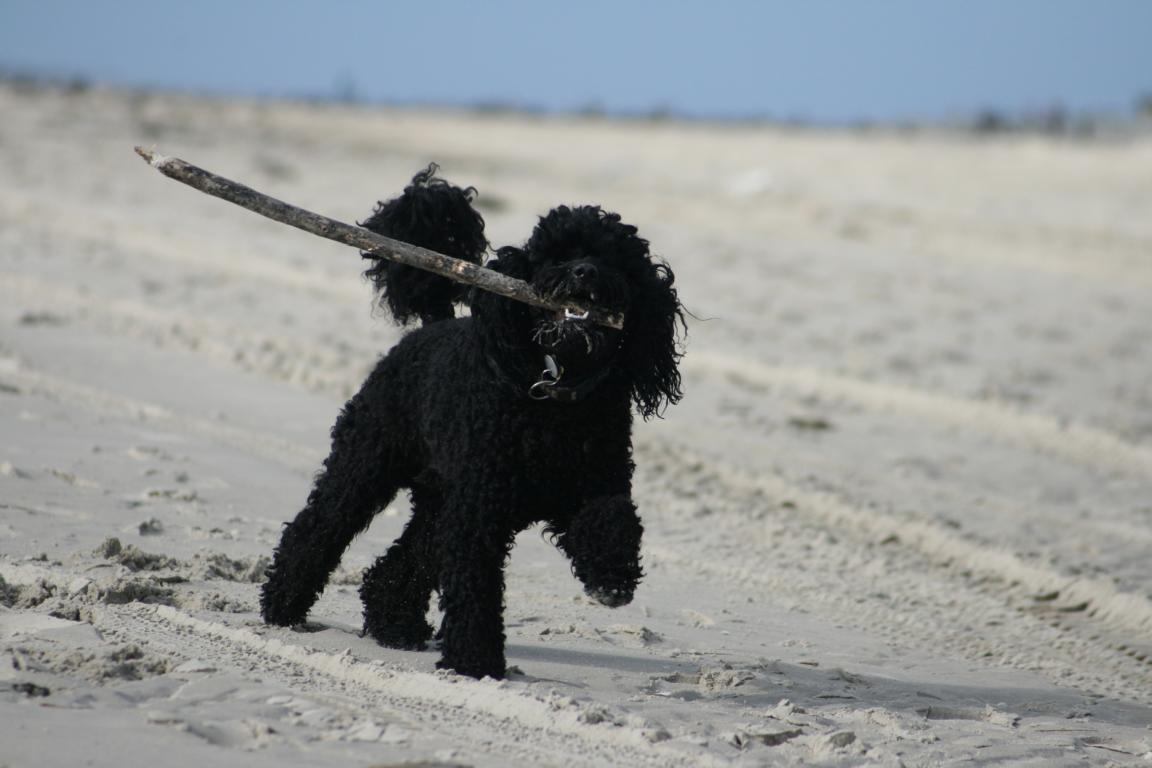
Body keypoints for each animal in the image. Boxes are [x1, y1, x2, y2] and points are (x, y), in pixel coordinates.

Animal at [261, 168, 681, 677]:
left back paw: (394, 625)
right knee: (319, 525)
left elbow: (614, 518)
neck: (555, 402)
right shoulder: (479, 511)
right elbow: (475, 588)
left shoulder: (595, 484)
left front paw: (611, 579)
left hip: (440, 494)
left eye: (615, 258)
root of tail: (430, 327)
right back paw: (282, 606)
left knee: (405, 559)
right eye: (557, 254)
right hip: (366, 463)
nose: (586, 272)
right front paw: (475, 662)